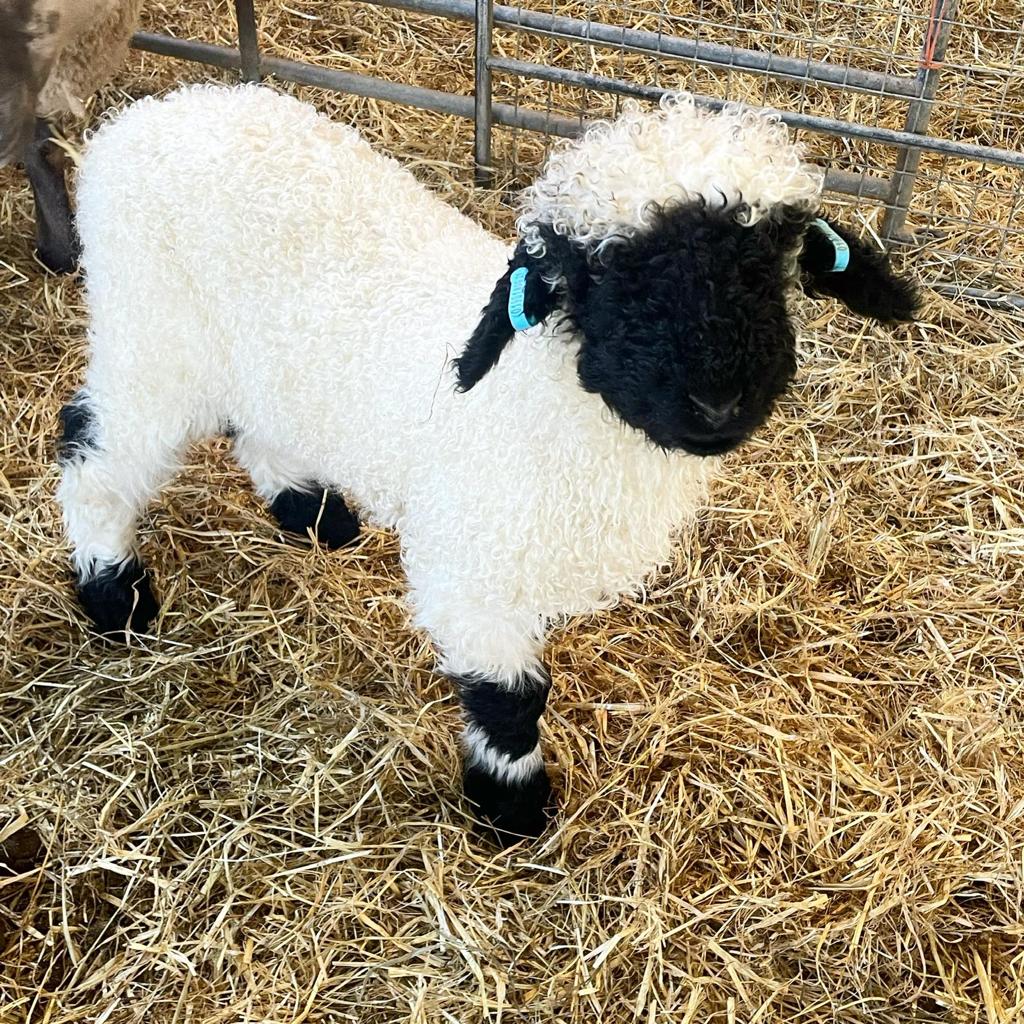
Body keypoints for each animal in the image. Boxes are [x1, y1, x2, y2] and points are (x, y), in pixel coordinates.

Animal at [56, 85, 918, 845]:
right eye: (601, 275)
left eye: (769, 264)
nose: (716, 402)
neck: (542, 409)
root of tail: (145, 117)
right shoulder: (470, 571)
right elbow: (513, 698)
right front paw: (512, 804)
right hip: (150, 332)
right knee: (94, 448)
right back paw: (113, 592)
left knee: (256, 423)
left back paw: (310, 509)